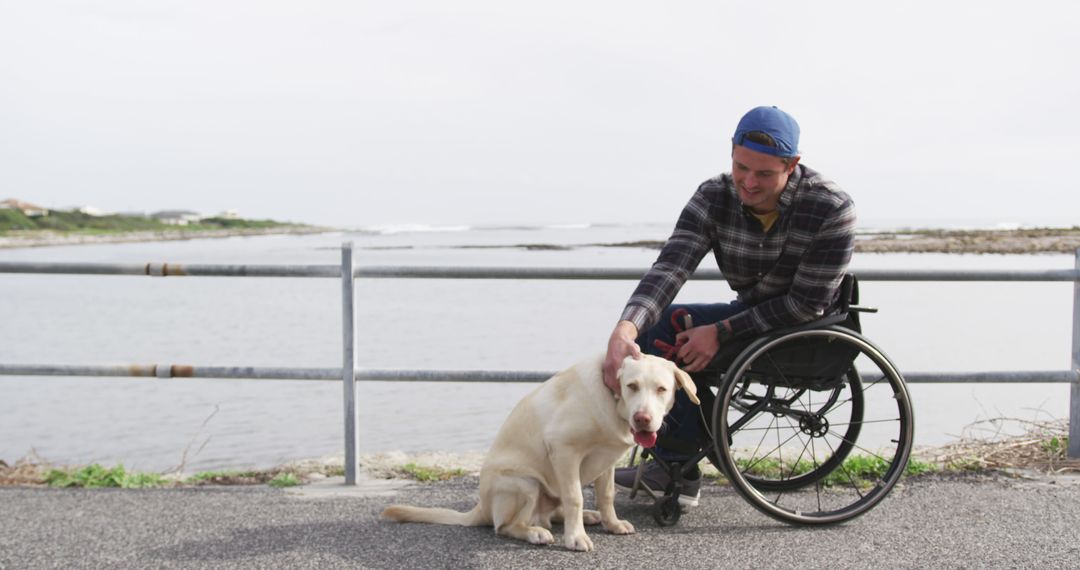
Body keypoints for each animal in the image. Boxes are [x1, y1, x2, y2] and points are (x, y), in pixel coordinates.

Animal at [382, 351, 699, 552]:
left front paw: (611, 523)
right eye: (632, 386)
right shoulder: (564, 449)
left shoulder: (606, 460)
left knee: (551, 512)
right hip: (524, 484)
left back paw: (588, 517)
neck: (615, 404)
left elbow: (607, 495)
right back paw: (535, 532)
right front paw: (575, 538)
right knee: (506, 526)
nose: (642, 419)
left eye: (661, 389)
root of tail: (481, 508)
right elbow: (575, 497)